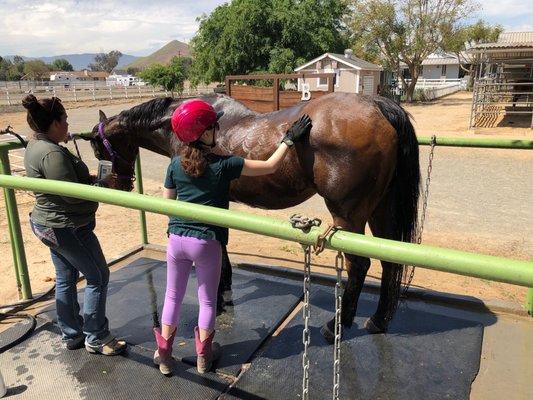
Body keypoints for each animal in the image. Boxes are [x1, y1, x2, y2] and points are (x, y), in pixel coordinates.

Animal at [82, 93, 420, 338]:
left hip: (348, 216)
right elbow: (220, 243)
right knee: (390, 260)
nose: (117, 184)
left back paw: (338, 324)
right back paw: (378, 320)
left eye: (100, 150)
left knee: (360, 264)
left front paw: (220, 296)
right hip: (381, 210)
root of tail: (378, 106)